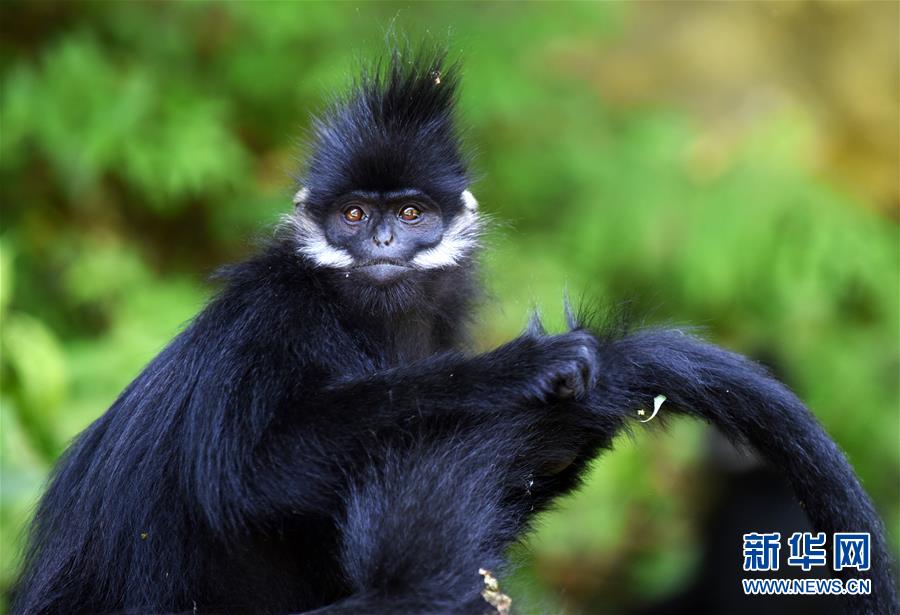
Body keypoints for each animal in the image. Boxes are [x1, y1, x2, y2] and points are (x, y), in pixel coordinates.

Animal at [12, 49, 892, 615]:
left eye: (410, 213)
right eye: (354, 214)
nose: (382, 242)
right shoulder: (272, 316)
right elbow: (246, 472)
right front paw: (523, 367)